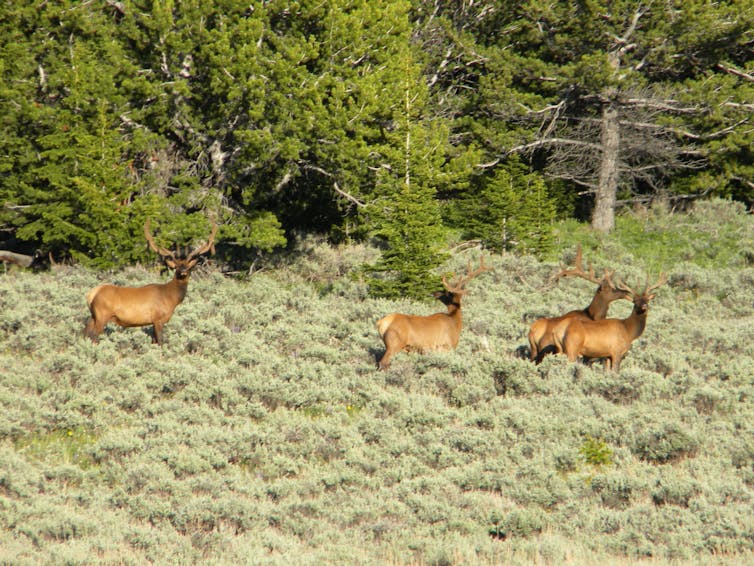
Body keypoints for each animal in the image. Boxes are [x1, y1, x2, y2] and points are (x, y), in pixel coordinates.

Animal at [83, 221, 216, 346]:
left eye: (189, 266)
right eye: (177, 266)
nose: (183, 271)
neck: (171, 298)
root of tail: (91, 294)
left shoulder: (152, 322)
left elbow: (154, 342)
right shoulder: (158, 319)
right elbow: (161, 341)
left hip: (93, 316)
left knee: (85, 333)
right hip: (102, 314)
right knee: (93, 336)